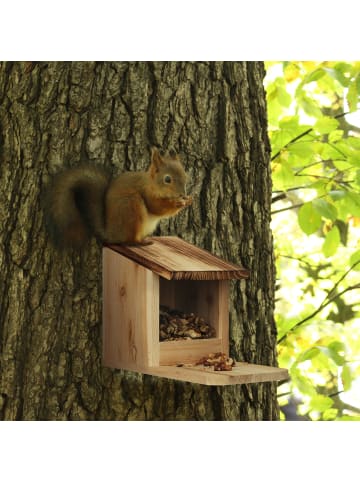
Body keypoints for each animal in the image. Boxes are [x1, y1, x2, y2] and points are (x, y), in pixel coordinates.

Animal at [45, 147, 193, 247]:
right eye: (167, 179)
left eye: (185, 175)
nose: (183, 194)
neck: (151, 184)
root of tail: (111, 234)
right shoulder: (147, 194)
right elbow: (157, 208)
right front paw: (178, 204)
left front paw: (188, 200)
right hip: (131, 207)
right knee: (129, 240)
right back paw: (140, 242)